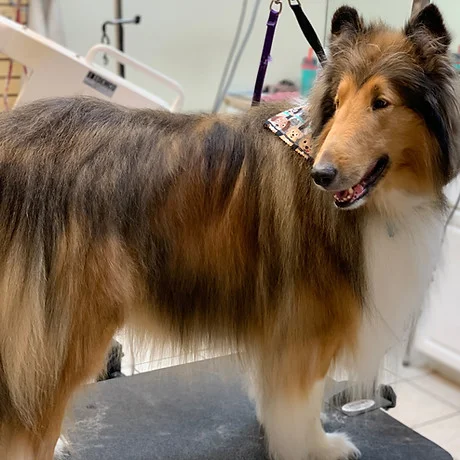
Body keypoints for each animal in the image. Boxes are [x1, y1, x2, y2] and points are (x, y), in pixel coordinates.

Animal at [0, 4, 458, 459]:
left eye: (382, 102)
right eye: (339, 102)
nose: (322, 176)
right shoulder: (308, 328)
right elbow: (302, 404)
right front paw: (317, 447)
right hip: (62, 335)